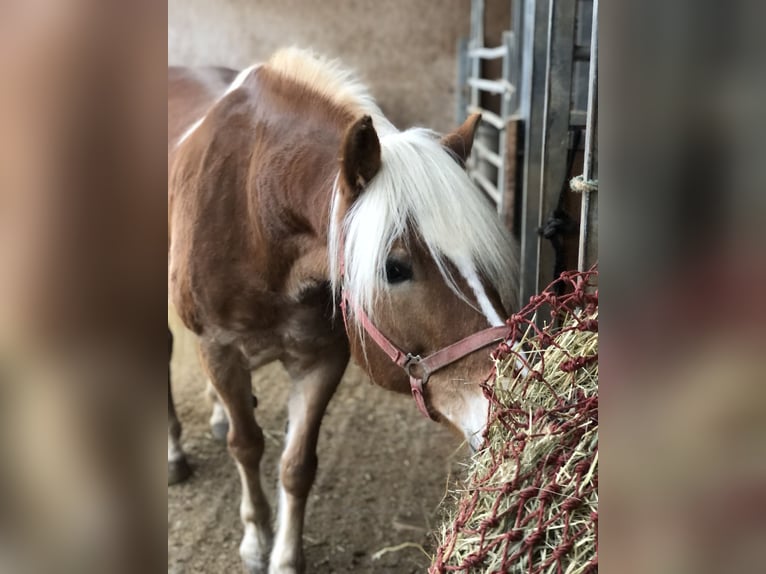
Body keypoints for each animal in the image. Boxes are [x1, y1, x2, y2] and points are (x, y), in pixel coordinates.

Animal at [166, 48, 516, 574]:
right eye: (395, 268)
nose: (509, 404)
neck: (255, 210)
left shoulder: (322, 359)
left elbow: (297, 465)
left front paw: (286, 557)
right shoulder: (220, 349)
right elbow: (247, 446)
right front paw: (256, 538)